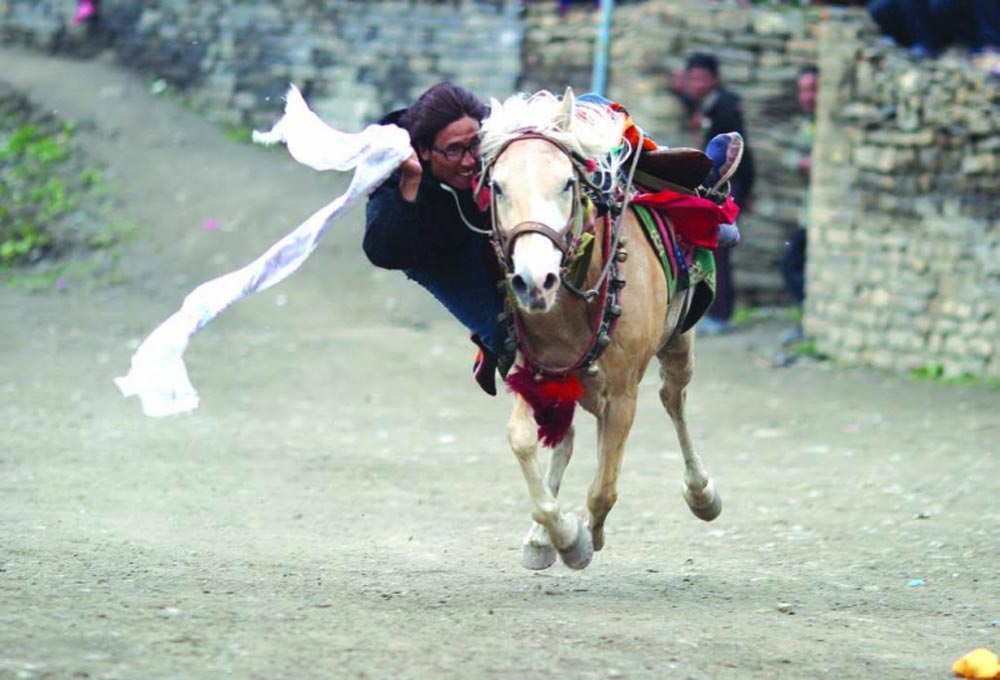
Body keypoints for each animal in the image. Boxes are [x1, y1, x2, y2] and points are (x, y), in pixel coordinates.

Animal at [476, 89, 720, 568]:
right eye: (498, 187)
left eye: (566, 184)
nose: (535, 280)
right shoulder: (533, 372)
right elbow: (523, 439)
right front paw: (556, 533)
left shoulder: (623, 393)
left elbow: (602, 490)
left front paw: (583, 538)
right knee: (566, 435)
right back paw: (542, 537)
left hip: (678, 343)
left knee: (673, 398)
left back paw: (701, 493)